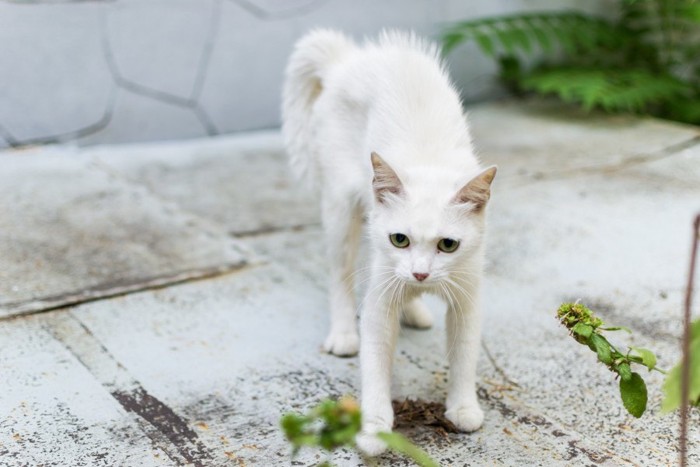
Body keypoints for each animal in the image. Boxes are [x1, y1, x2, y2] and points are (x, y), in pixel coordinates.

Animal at [282, 30, 494, 458]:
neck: (430, 165)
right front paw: (374, 427)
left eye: (448, 245)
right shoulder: (379, 300)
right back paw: (344, 333)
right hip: (340, 210)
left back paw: (413, 307)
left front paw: (464, 407)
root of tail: (346, 59)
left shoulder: (468, 296)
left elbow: (464, 355)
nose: (421, 273)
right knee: (339, 274)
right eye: (400, 239)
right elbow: (375, 364)